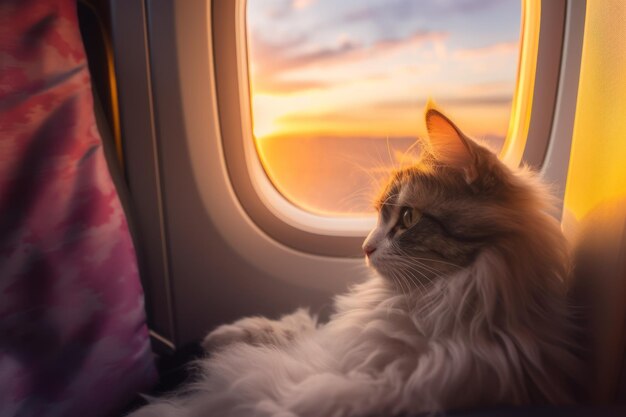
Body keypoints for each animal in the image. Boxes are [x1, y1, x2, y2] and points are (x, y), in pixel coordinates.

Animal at [128, 108, 580, 416]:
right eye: (379, 215)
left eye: (408, 218)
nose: (364, 247)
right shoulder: (333, 346)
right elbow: (295, 329)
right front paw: (225, 336)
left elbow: (227, 391)